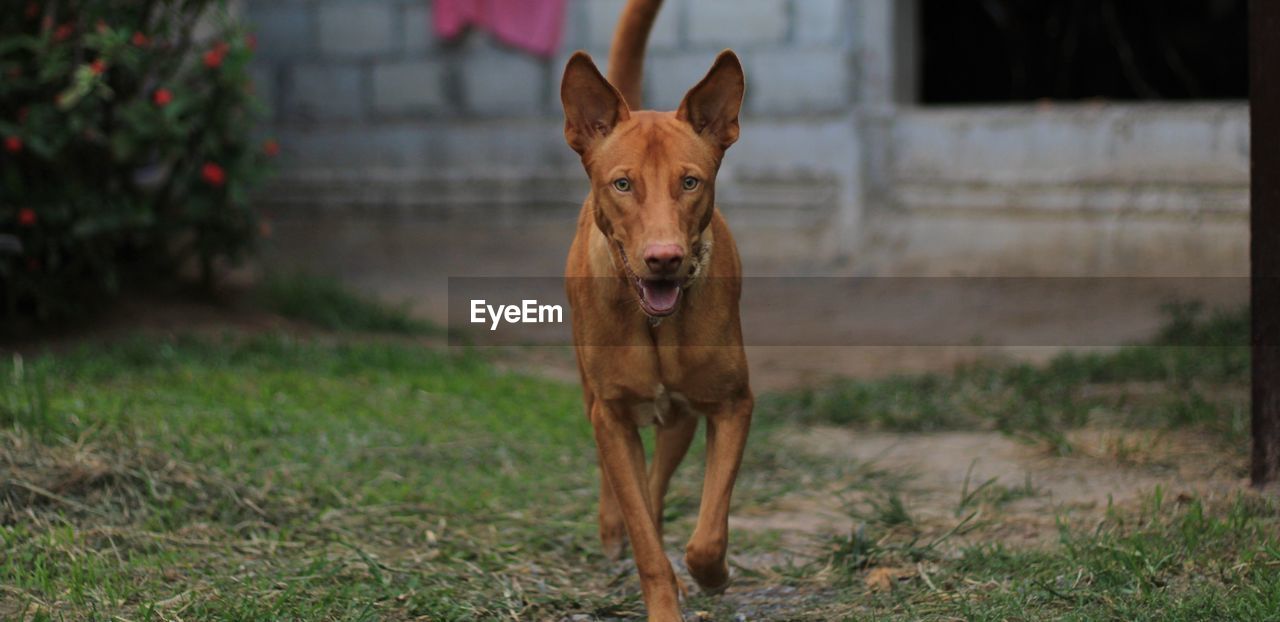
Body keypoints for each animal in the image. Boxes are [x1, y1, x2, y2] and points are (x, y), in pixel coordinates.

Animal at [558, 0, 747, 616]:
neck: (655, 322)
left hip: (679, 418)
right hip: (592, 393)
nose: (663, 258)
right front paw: (662, 602)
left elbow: (706, 533)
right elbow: (643, 536)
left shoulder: (732, 405)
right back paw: (612, 527)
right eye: (623, 184)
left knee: (658, 483)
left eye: (690, 182)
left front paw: (711, 575)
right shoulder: (612, 415)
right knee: (624, 485)